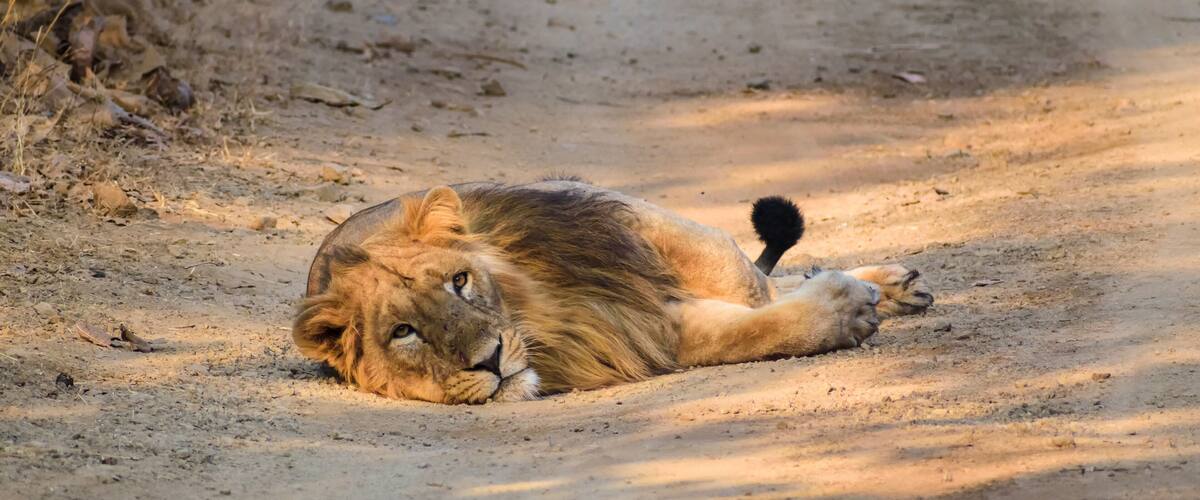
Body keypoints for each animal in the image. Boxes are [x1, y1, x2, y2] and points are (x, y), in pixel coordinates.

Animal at [295, 180, 933, 404]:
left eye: (459, 281)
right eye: (404, 332)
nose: (492, 361)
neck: (547, 315)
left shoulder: (624, 226)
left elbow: (745, 282)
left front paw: (855, 292)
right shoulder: (638, 329)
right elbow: (746, 327)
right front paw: (845, 310)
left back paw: (897, 284)